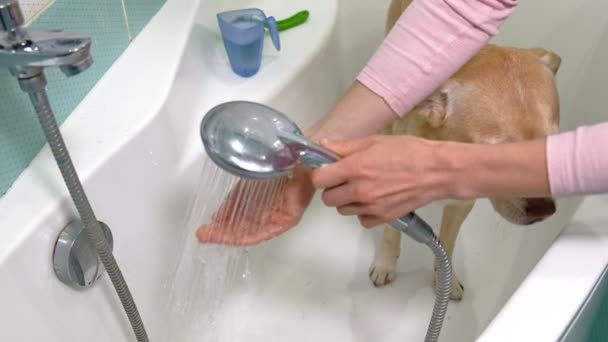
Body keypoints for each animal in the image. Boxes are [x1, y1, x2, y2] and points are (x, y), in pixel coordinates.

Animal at [368, 0, 564, 300]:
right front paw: (385, 264)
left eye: (550, 147)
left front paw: (444, 280)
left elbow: (447, 243)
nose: (544, 209)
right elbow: (391, 233)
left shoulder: (461, 206)